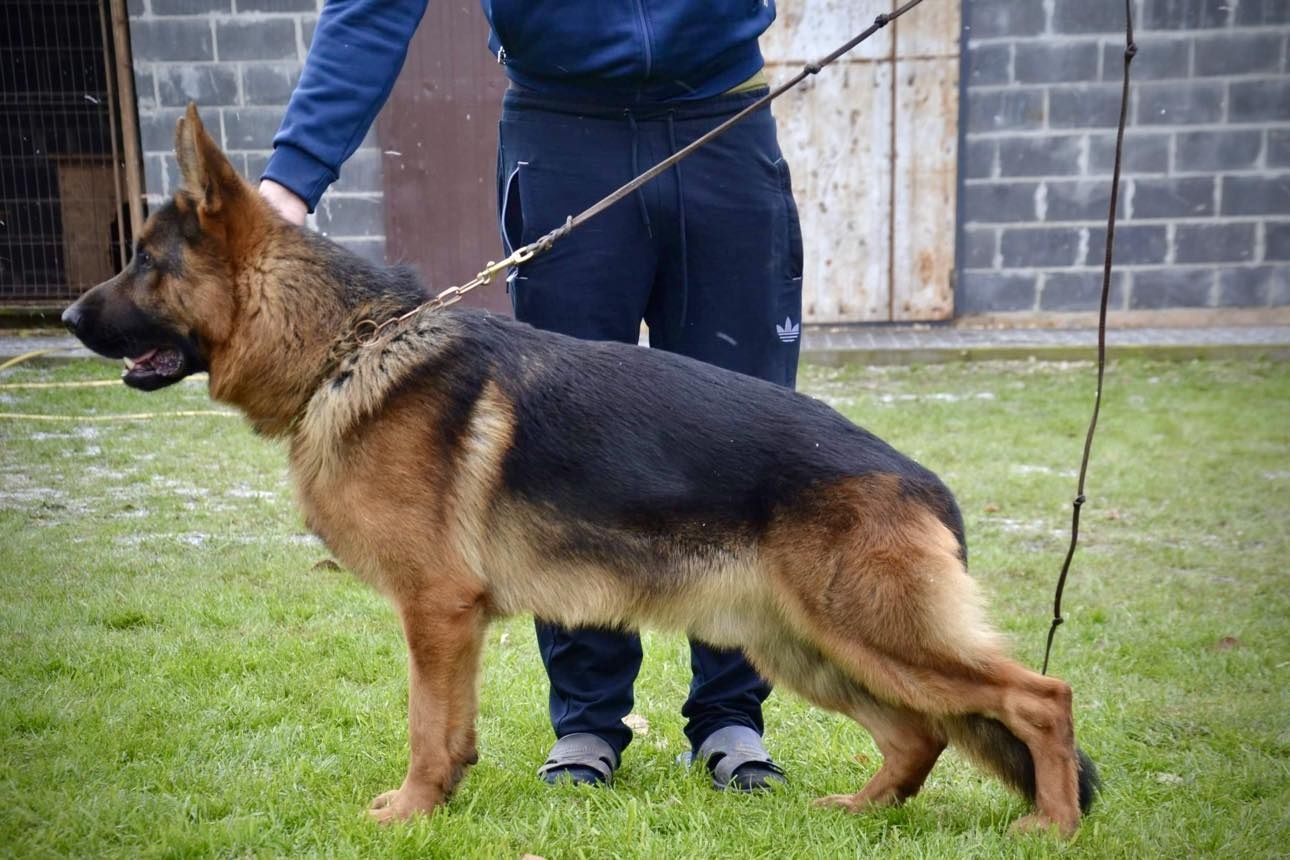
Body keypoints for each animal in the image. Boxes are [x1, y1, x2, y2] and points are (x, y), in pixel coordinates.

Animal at [62, 105, 1099, 835]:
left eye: (145, 262)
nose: (66, 317)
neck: (342, 350)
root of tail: (927, 483)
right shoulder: (454, 622)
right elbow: (453, 728)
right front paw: (442, 803)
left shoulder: (436, 608)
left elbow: (425, 727)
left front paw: (410, 812)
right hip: (810, 644)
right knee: (921, 731)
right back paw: (863, 812)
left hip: (870, 634)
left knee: (1038, 698)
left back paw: (1051, 824)